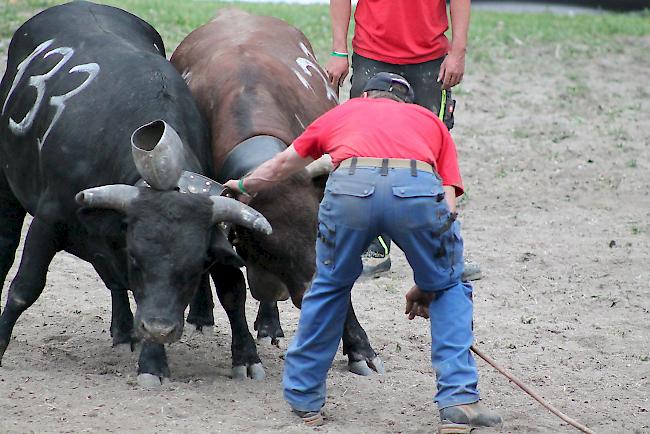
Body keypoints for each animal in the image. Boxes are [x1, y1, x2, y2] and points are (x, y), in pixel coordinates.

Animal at [0, 0, 270, 386]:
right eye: (137, 260)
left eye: (193, 269)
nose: (159, 328)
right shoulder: (49, 220)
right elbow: (25, 288)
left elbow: (231, 290)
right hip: (7, 187)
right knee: (6, 250)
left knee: (113, 281)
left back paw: (123, 330)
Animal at [170, 10, 384, 376]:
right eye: (263, 246)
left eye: (320, 232)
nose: (311, 294)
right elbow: (232, 291)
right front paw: (244, 355)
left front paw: (359, 347)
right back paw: (201, 313)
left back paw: (270, 323)